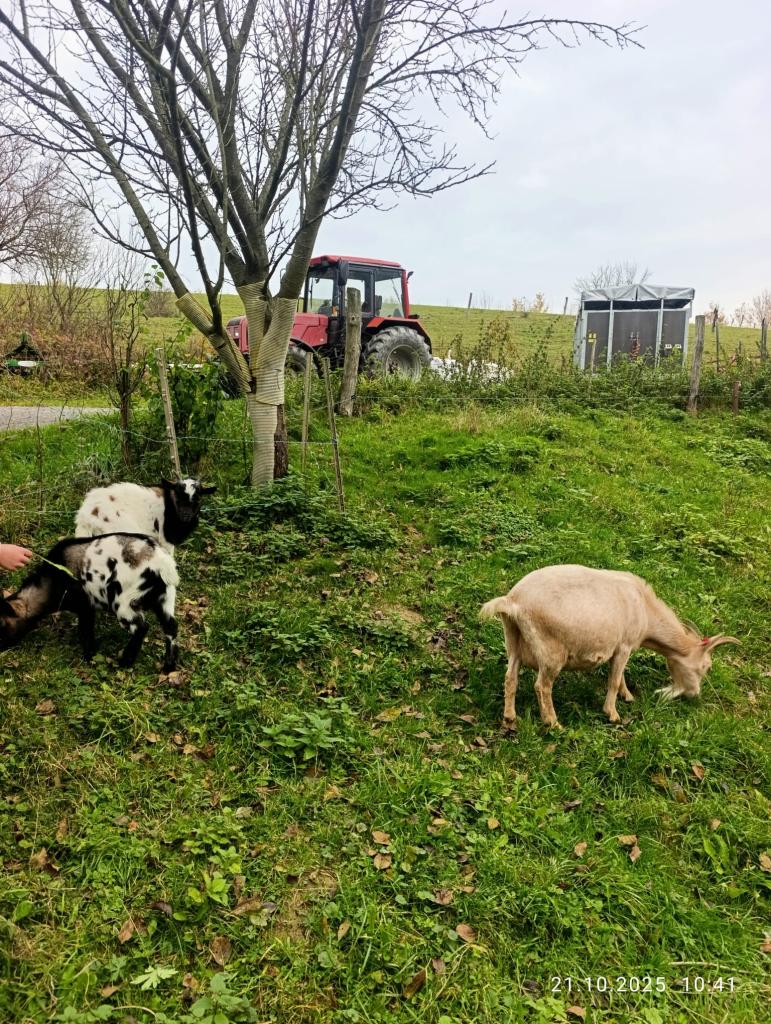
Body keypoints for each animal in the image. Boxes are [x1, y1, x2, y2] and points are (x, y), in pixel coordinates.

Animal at [0, 534, 179, 671]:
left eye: (1, 626)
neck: (50, 582)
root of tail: (161, 562)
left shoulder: (85, 606)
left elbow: (85, 631)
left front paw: (90, 657)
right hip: (164, 598)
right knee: (171, 627)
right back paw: (168, 666)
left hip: (124, 602)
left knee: (142, 628)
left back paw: (125, 662)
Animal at [480, 564, 738, 729]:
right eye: (706, 667)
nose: (695, 694)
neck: (645, 609)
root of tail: (513, 601)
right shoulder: (623, 645)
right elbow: (613, 679)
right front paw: (613, 714)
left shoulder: (622, 649)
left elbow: (620, 675)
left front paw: (628, 696)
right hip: (551, 652)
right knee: (542, 686)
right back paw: (553, 723)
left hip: (513, 641)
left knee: (510, 677)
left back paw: (510, 718)